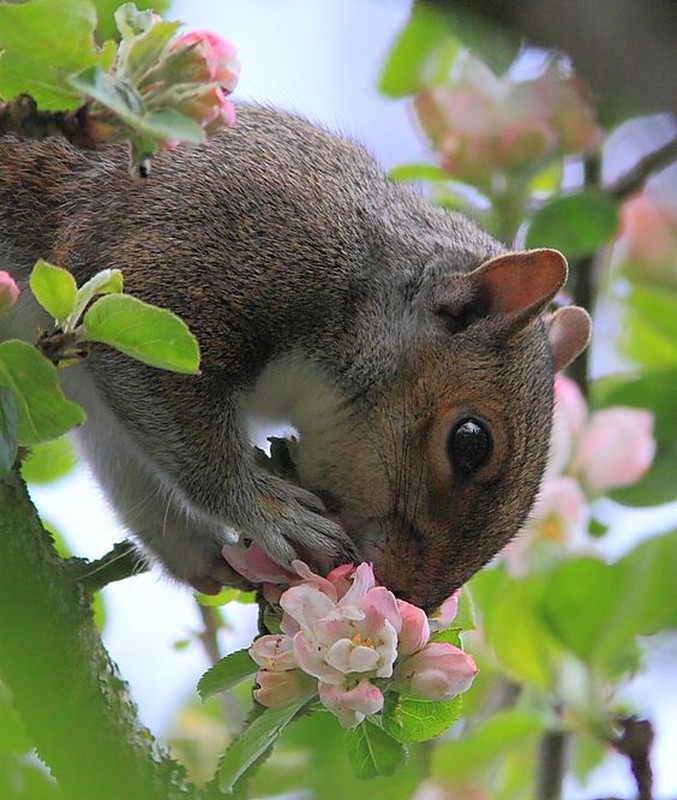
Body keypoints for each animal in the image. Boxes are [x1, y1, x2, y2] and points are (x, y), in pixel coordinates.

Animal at [0, 103, 588, 608]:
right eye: (470, 442)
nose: (406, 596)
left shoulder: (90, 385)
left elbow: (127, 469)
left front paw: (200, 554)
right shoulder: (193, 267)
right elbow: (182, 433)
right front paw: (268, 509)